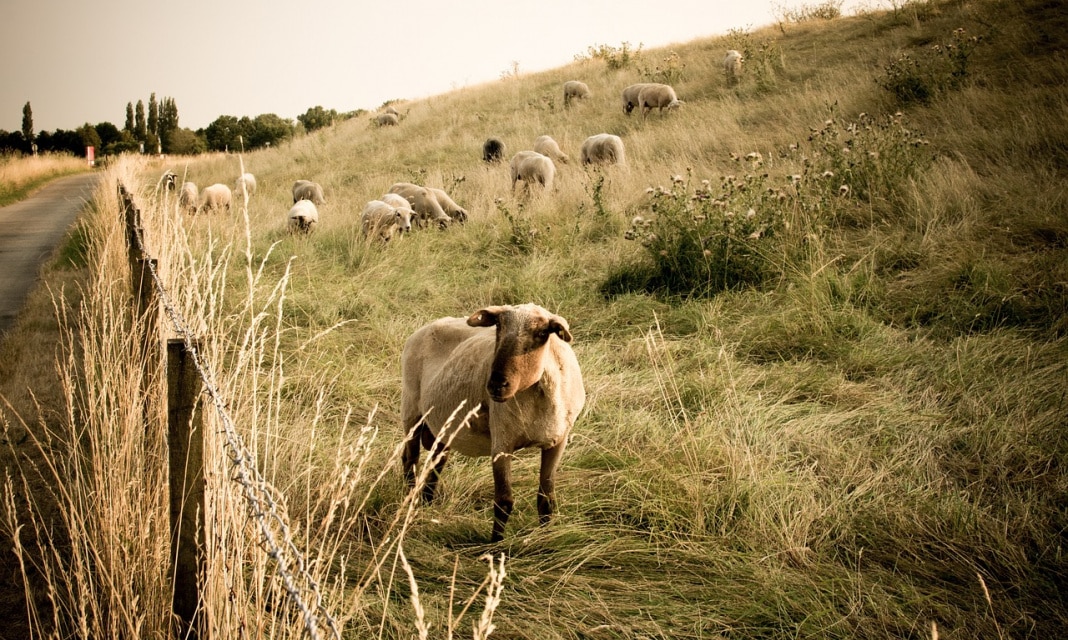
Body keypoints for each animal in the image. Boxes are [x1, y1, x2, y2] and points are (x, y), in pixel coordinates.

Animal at [401, 303, 585, 542]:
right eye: (498, 326)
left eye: (542, 333)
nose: (497, 384)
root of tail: (426, 327)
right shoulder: (502, 443)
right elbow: (504, 501)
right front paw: (496, 544)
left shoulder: (557, 441)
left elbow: (546, 499)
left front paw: (546, 536)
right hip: (411, 411)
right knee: (410, 461)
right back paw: (410, 503)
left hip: (443, 425)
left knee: (436, 463)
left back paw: (427, 502)